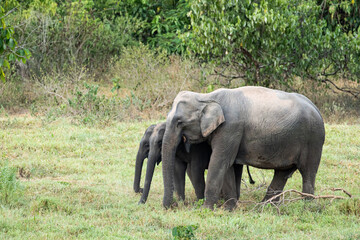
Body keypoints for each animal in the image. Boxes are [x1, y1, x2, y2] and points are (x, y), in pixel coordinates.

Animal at [162, 86, 324, 208]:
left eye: (179, 122)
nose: (172, 206)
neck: (207, 96)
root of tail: (317, 109)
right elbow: (227, 167)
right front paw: (229, 208)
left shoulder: (230, 128)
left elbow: (220, 162)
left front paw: (206, 209)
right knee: (282, 173)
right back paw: (265, 206)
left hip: (313, 141)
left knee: (308, 173)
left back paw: (307, 206)